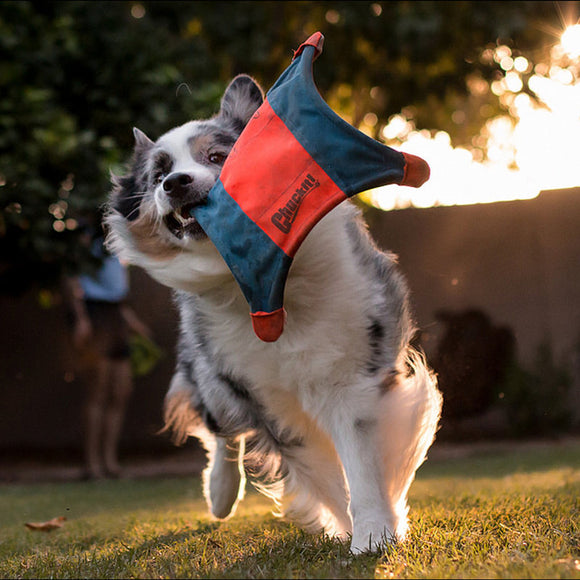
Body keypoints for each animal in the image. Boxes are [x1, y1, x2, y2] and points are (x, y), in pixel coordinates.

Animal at [104, 73, 442, 552]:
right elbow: (323, 473)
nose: (175, 183)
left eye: (217, 156)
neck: (270, 282)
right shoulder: (264, 395)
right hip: (212, 372)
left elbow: (361, 463)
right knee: (222, 430)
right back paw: (220, 494)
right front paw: (349, 527)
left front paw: (374, 533)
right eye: (157, 174)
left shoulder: (352, 370)